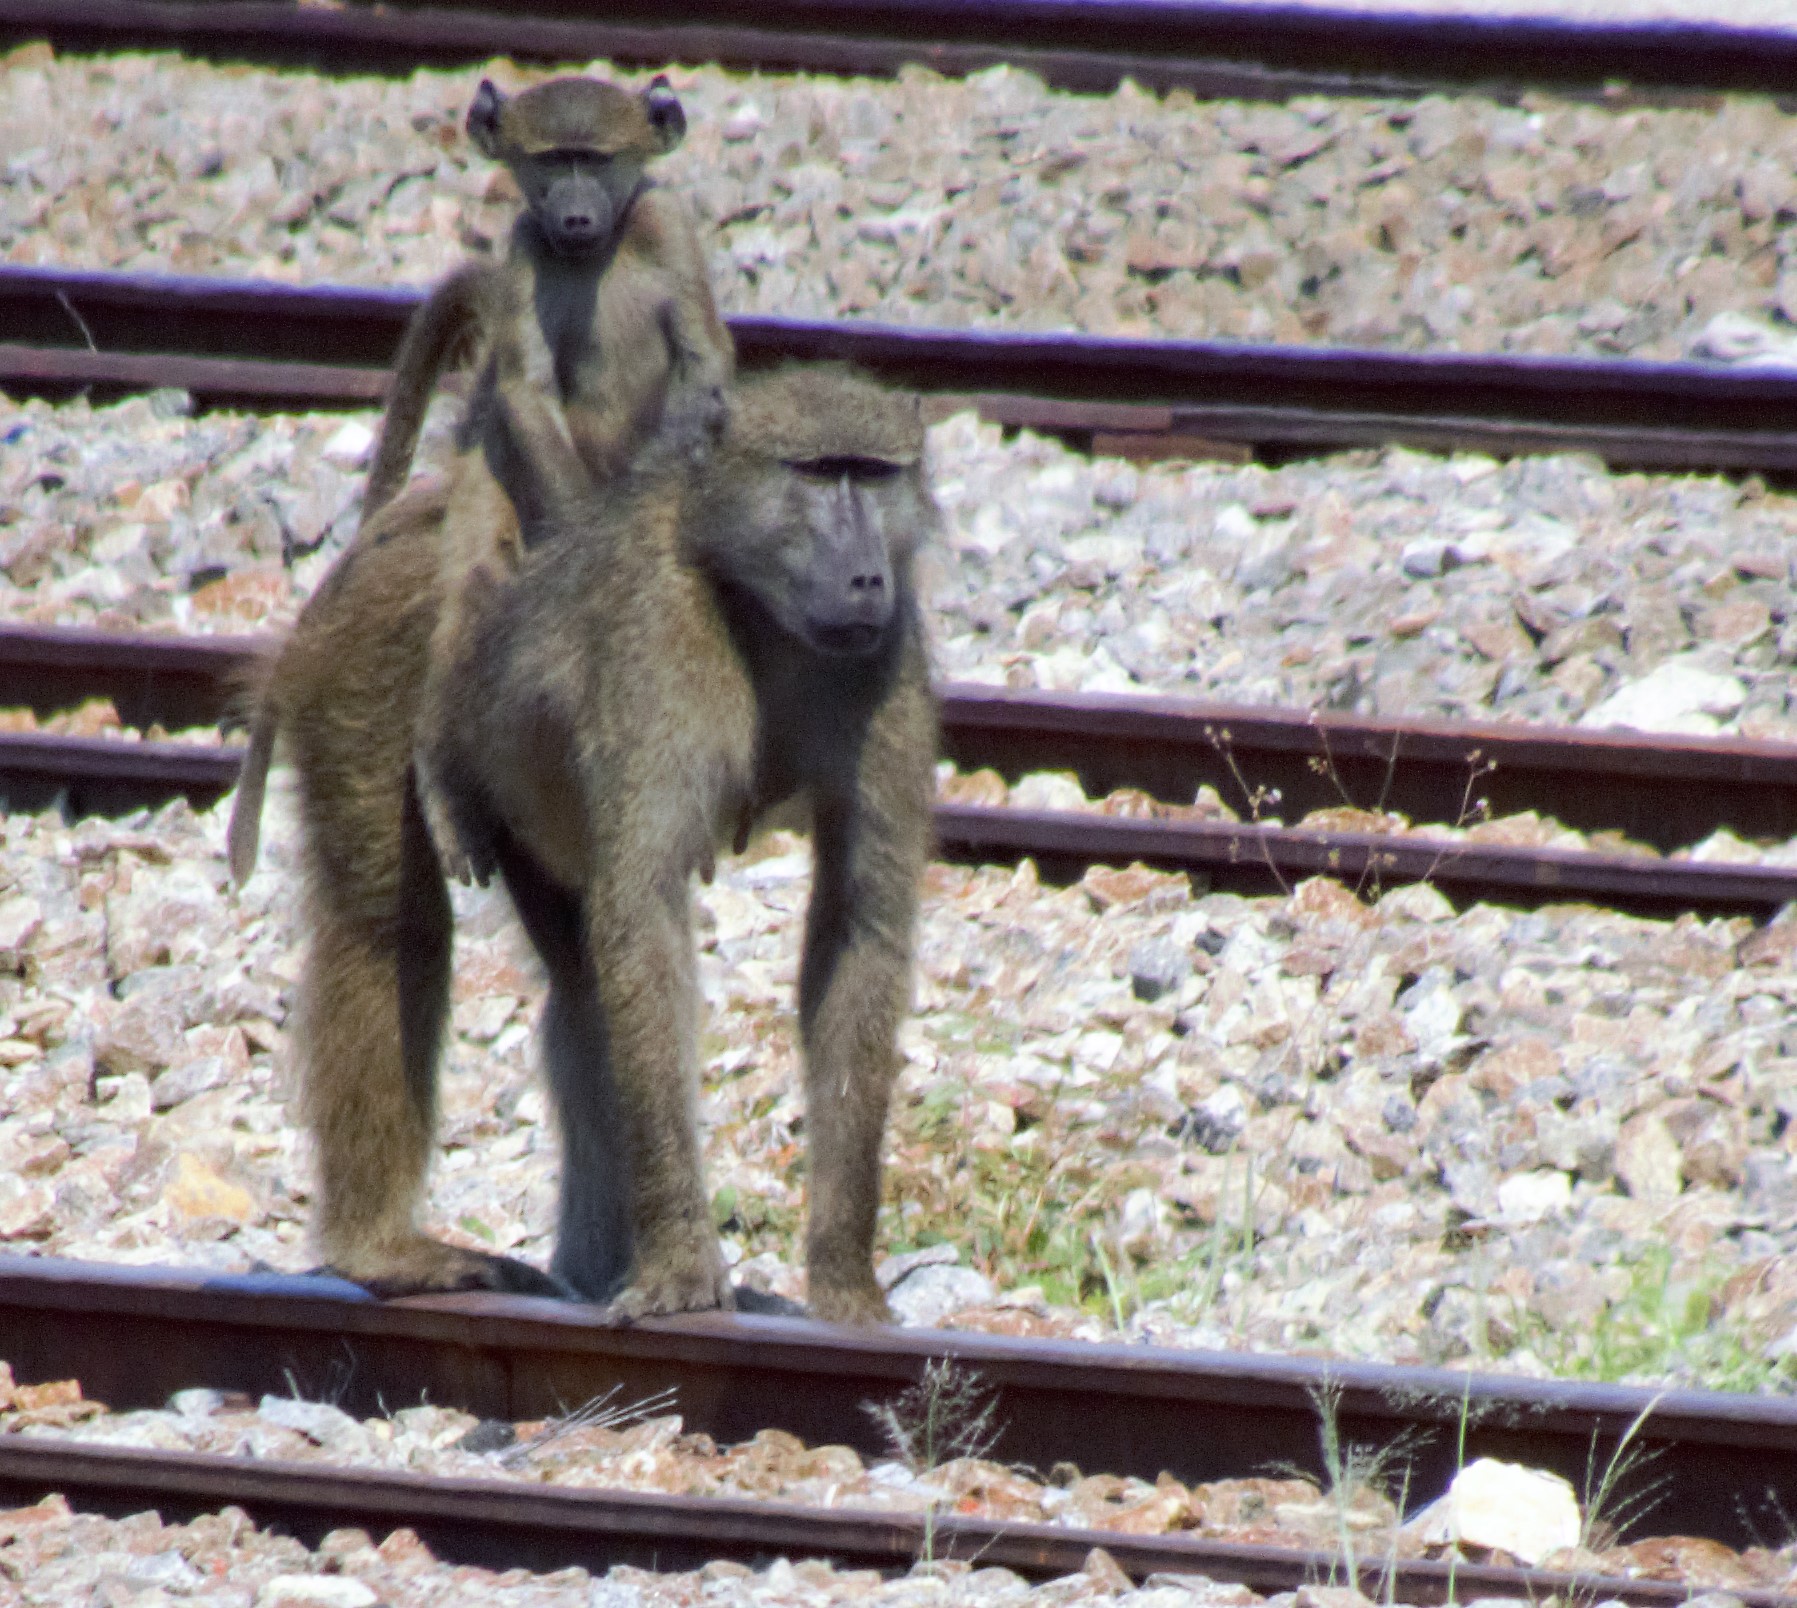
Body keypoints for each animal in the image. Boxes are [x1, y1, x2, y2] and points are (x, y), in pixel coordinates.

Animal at [226, 70, 734, 888]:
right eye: (552, 162)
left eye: (594, 160)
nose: (575, 213)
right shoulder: (523, 250)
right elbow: (526, 388)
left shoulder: (668, 227)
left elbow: (704, 364)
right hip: (494, 488)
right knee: (474, 590)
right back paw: (448, 795)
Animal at [240, 366, 938, 1319]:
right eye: (816, 472)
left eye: (873, 474)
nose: (867, 577)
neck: (748, 603)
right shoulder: (658, 643)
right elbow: (642, 912)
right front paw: (684, 1268)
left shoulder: (887, 664)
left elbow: (858, 930)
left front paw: (842, 1280)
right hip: (366, 661)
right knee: (390, 928)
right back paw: (382, 1250)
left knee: (575, 987)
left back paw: (590, 1266)